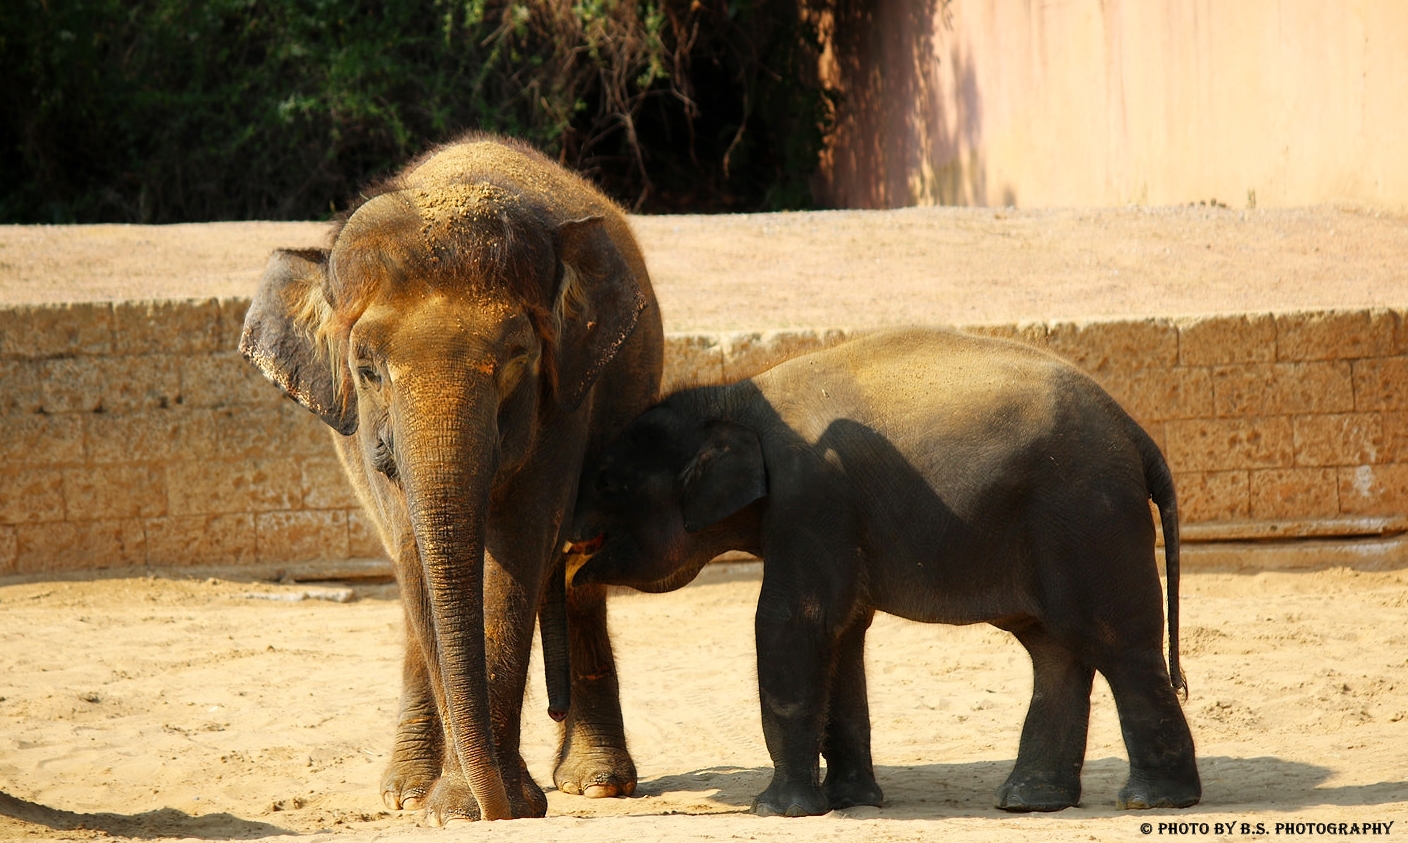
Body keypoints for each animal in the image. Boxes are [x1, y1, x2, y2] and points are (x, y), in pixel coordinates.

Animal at [239, 135, 661, 821]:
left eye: (518, 357)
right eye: (367, 368)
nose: (497, 807)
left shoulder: (564, 405)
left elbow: (517, 552)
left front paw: (493, 802)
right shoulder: (367, 440)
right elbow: (416, 551)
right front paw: (458, 806)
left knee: (580, 574)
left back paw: (598, 784)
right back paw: (404, 793)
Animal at [566, 327, 1205, 816]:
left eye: (606, 482)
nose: (569, 556)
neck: (736, 395)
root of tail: (1135, 430)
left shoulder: (812, 499)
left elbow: (790, 624)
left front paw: (778, 811)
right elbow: (844, 634)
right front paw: (852, 802)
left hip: (1087, 518)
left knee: (1118, 645)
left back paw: (1152, 802)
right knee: (1055, 651)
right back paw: (1031, 802)